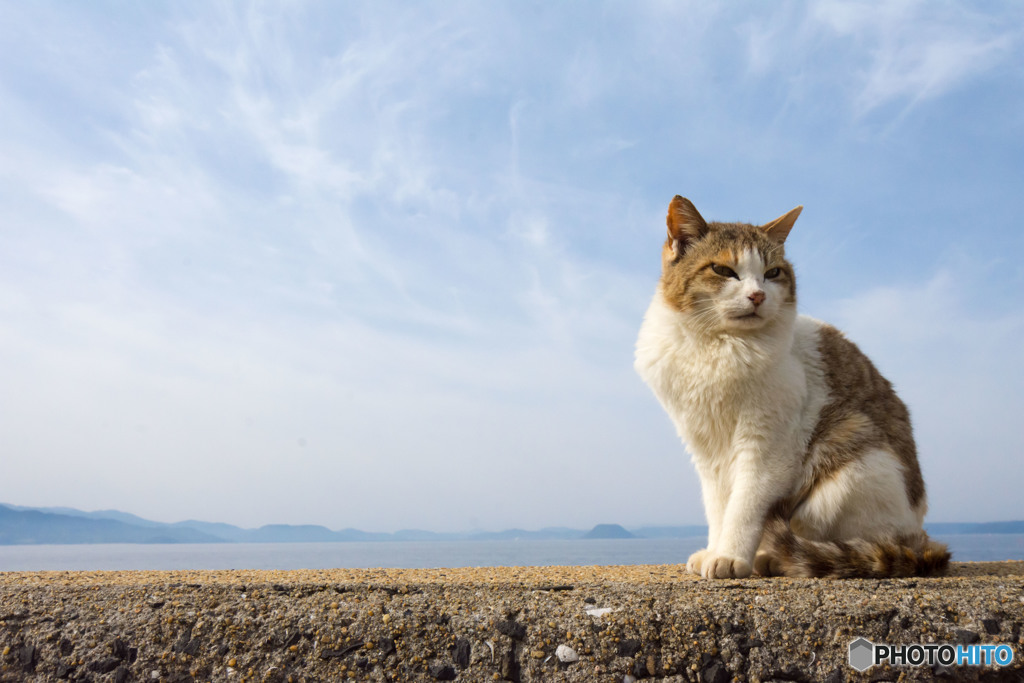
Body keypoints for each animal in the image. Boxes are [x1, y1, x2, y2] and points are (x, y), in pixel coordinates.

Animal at [630, 194, 950, 581]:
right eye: (723, 270)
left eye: (773, 273)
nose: (757, 295)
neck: (715, 346)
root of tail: (918, 534)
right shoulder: (705, 446)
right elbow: (718, 505)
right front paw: (715, 549)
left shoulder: (767, 444)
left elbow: (743, 505)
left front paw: (731, 555)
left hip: (851, 461)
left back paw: (774, 557)